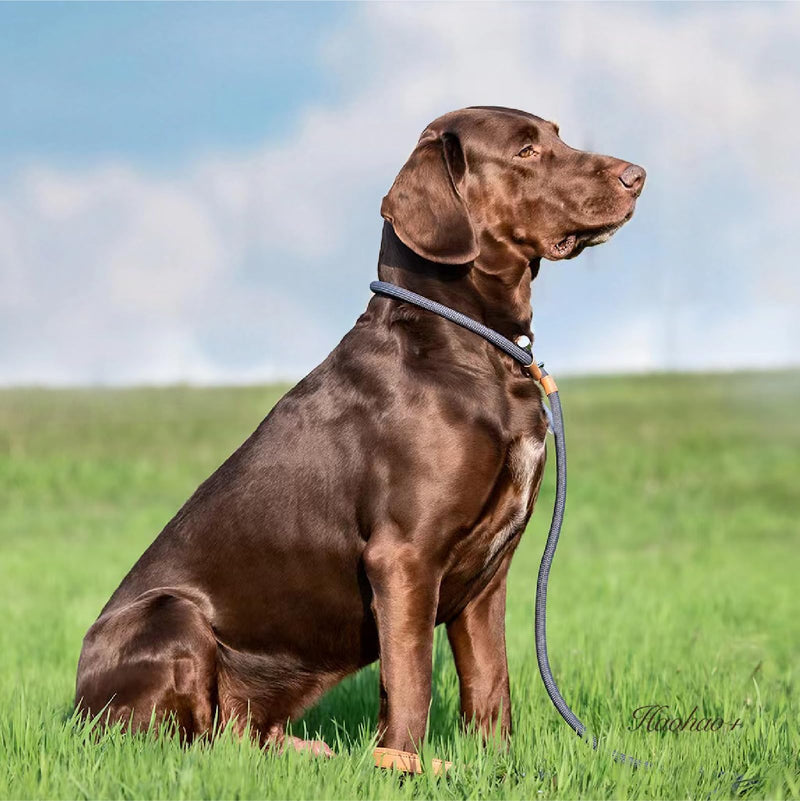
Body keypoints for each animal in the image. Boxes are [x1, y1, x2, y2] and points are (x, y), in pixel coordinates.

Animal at [75, 106, 644, 756]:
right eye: (525, 151)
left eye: (557, 134)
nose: (638, 176)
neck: (474, 347)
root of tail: (75, 705)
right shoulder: (402, 555)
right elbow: (411, 682)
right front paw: (401, 764)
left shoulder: (489, 577)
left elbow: (491, 684)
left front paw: (498, 763)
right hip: (172, 616)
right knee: (193, 743)